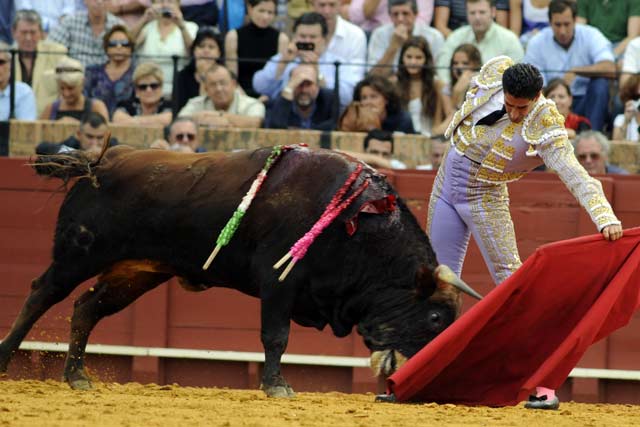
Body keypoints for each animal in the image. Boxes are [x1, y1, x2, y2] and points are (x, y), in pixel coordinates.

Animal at [0, 146, 480, 398]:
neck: (358, 221)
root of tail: (99, 162)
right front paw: (277, 387)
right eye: (435, 317)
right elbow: (276, 337)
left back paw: (78, 376)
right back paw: (7, 359)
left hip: (136, 273)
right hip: (77, 256)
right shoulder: (279, 282)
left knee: (86, 308)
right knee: (41, 293)